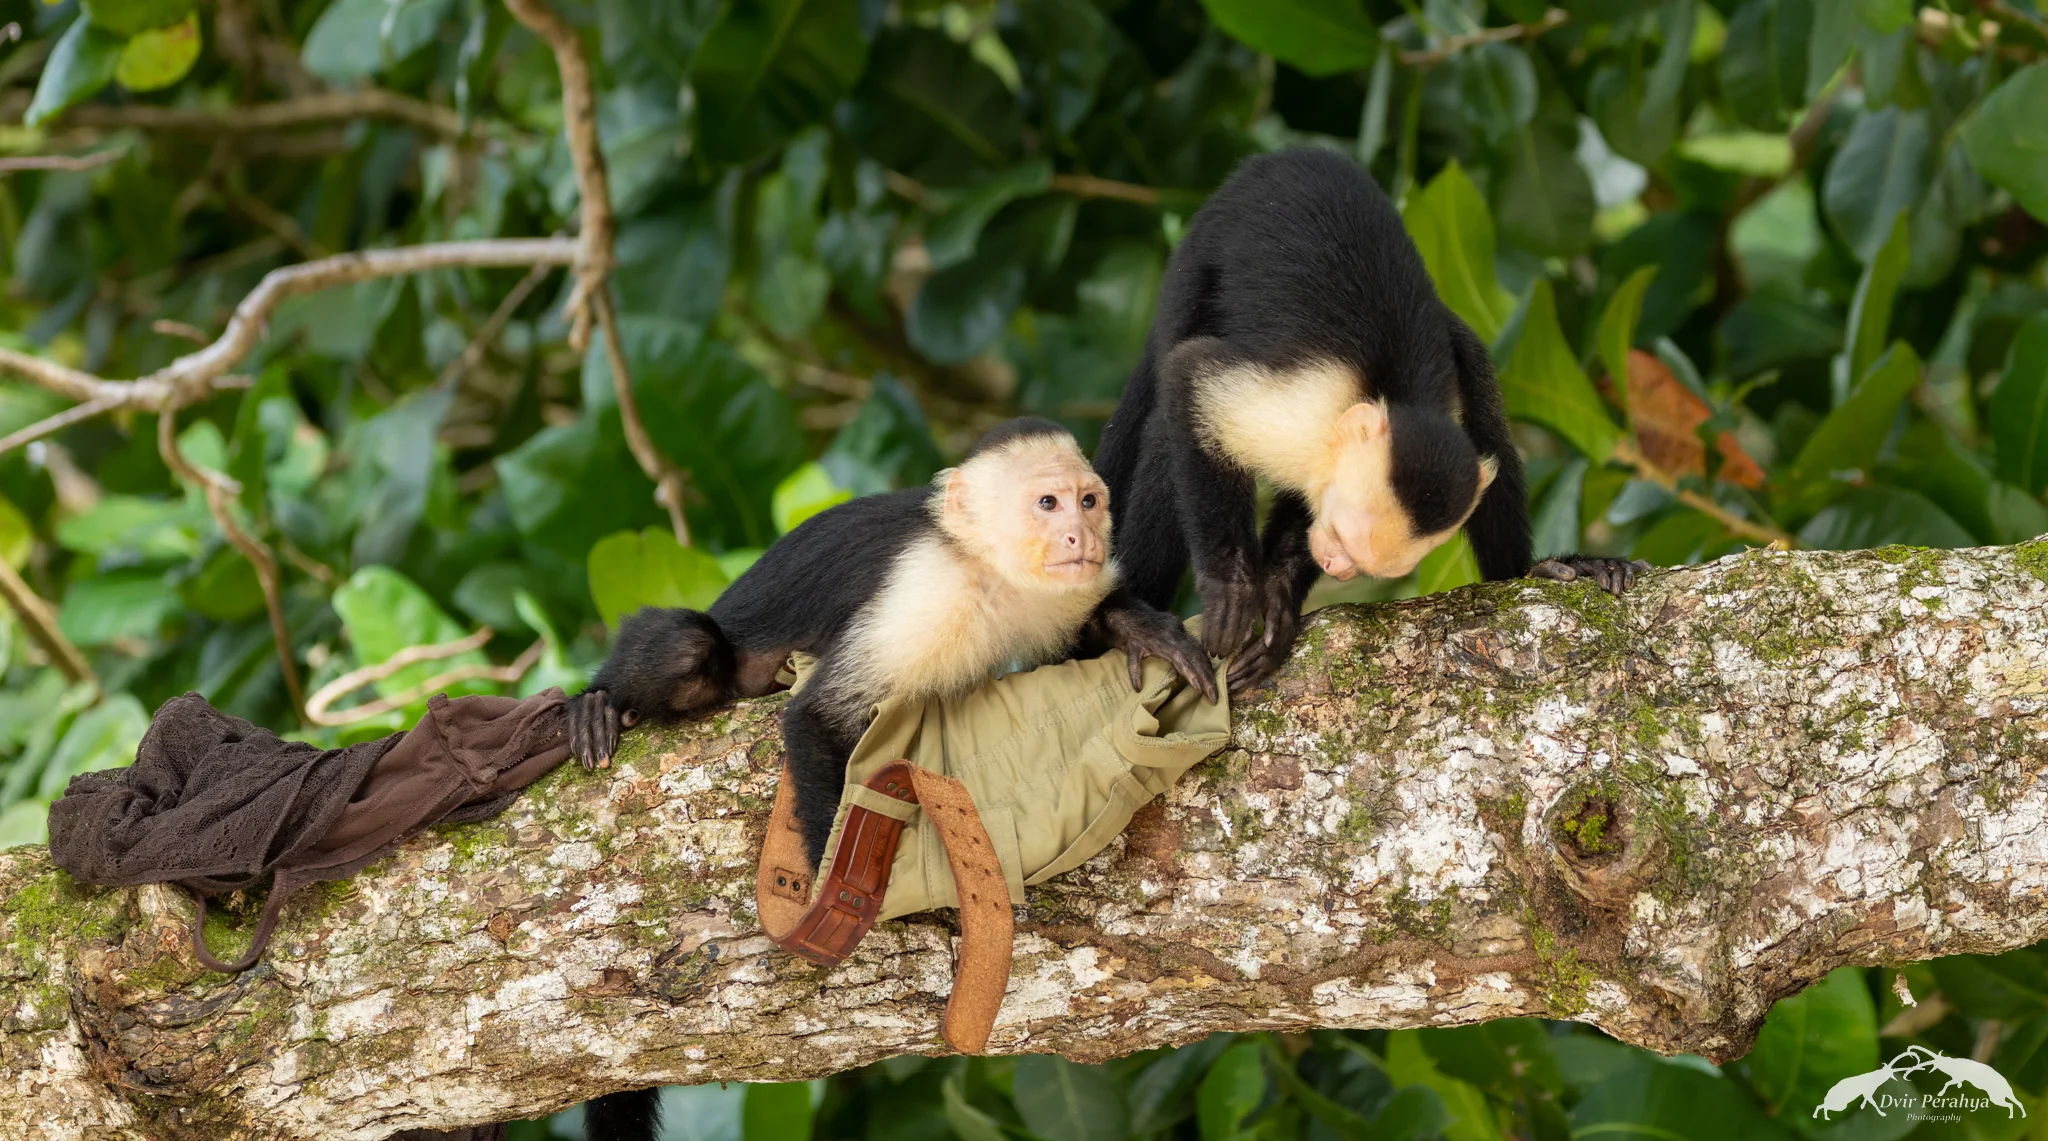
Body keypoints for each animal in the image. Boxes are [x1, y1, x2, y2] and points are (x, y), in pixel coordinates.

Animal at [1091, 147, 1647, 693]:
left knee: (1477, 377)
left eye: (1353, 557)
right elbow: (1189, 377)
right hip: (1197, 265)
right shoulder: (1299, 415)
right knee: (1168, 400)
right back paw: (1126, 619)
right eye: (1340, 538)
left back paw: (1530, 571)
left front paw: (1279, 595)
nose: (1334, 566)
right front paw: (1234, 589)